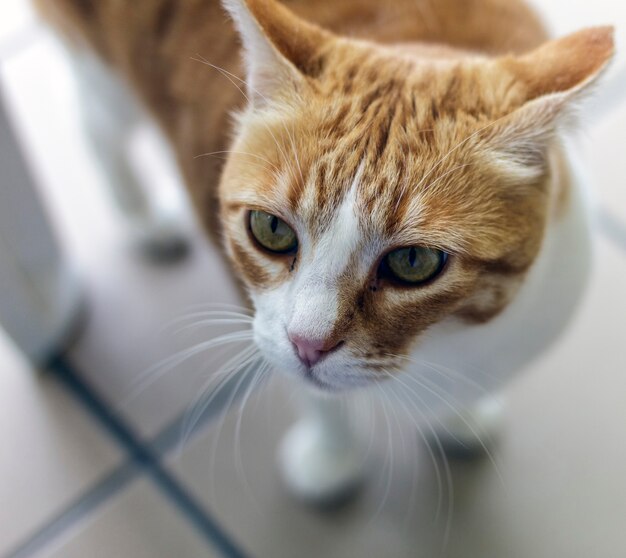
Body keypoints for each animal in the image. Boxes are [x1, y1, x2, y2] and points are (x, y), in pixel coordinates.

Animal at [33, 0, 608, 504]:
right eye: (271, 229)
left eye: (413, 263)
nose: (308, 344)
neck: (438, 344)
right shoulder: (262, 324)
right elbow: (315, 399)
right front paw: (333, 459)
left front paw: (456, 419)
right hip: (105, 72)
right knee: (97, 126)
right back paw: (145, 220)